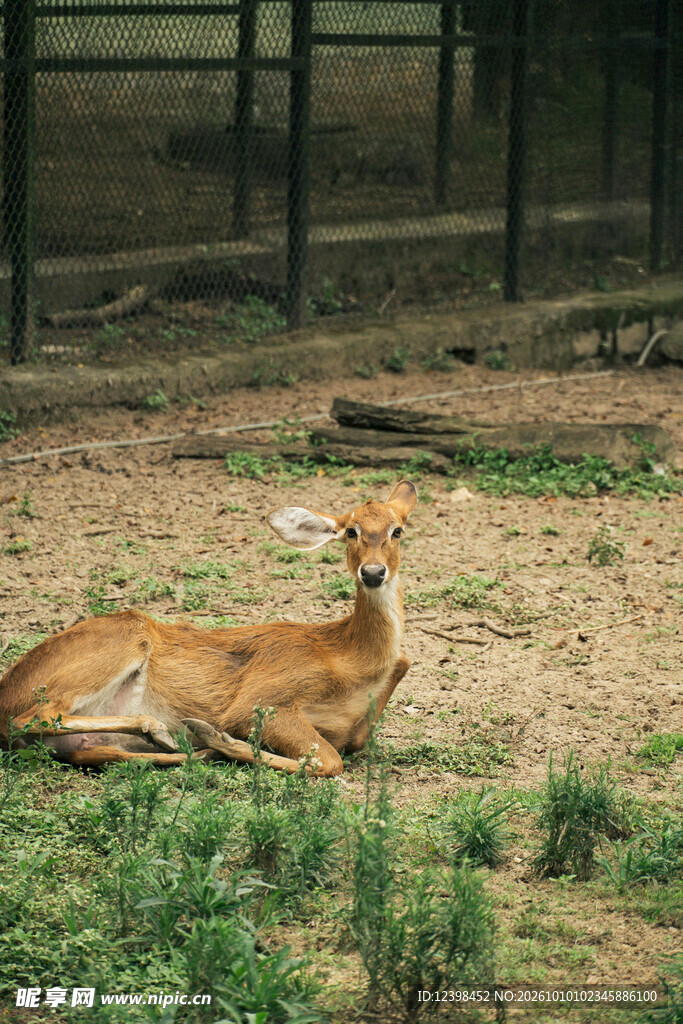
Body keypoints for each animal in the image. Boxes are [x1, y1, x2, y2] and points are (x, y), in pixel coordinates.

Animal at [0, 480, 417, 777]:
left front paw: (216, 744)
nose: (373, 572)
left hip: (85, 739)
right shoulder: (263, 695)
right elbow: (330, 761)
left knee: (102, 752)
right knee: (31, 717)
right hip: (123, 638)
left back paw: (186, 747)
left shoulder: (366, 714)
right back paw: (164, 730)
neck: (350, 659)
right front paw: (218, 736)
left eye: (397, 530)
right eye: (351, 531)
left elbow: (340, 752)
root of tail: (8, 690)